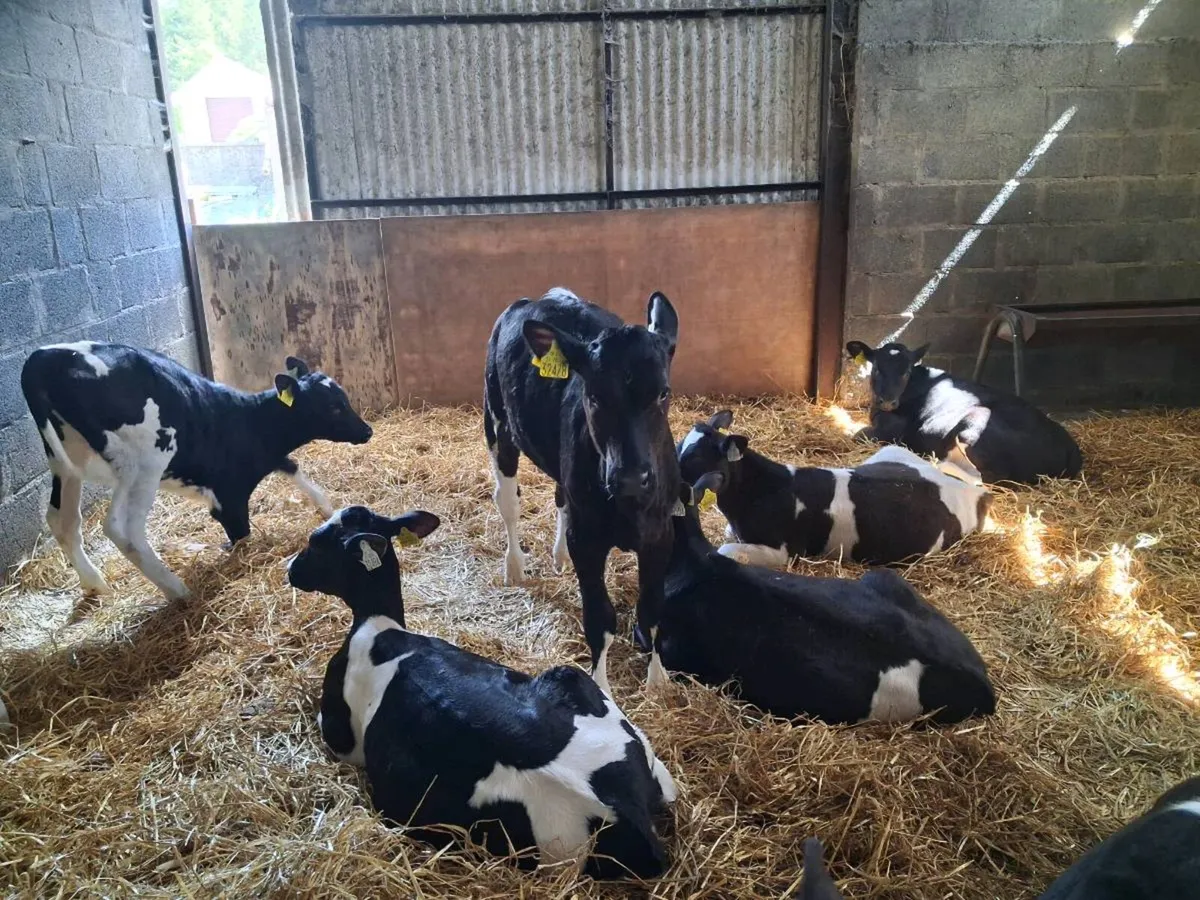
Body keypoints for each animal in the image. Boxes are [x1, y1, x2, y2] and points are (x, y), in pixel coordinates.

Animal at [20, 342, 371, 601]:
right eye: (333, 406)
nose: (367, 431)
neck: (250, 422)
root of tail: (44, 357)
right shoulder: (229, 498)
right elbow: (241, 535)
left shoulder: (264, 460)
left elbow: (294, 468)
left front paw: (327, 508)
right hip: (144, 464)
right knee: (123, 529)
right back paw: (178, 591)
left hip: (65, 461)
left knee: (63, 521)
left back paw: (96, 583)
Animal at [289, 505, 678, 880]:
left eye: (316, 541)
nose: (291, 569)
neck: (379, 629)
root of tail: (620, 804)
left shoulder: (340, 734)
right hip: (589, 694)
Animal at [483, 287, 681, 695]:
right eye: (594, 396)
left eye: (663, 393)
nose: (630, 476)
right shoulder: (586, 538)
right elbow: (599, 617)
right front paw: (602, 688)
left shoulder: (661, 533)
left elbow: (652, 608)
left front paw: (658, 680)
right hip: (496, 421)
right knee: (507, 503)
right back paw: (515, 566)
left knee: (560, 497)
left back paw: (557, 556)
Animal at [677, 410, 992, 568]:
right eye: (680, 444)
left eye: (694, 457)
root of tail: (976, 494)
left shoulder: (783, 551)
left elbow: (725, 549)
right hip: (892, 451)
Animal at [845, 340, 1083, 486]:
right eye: (877, 368)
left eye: (907, 371)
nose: (887, 401)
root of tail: (1070, 448)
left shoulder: (891, 430)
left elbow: (858, 435)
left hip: (974, 426)